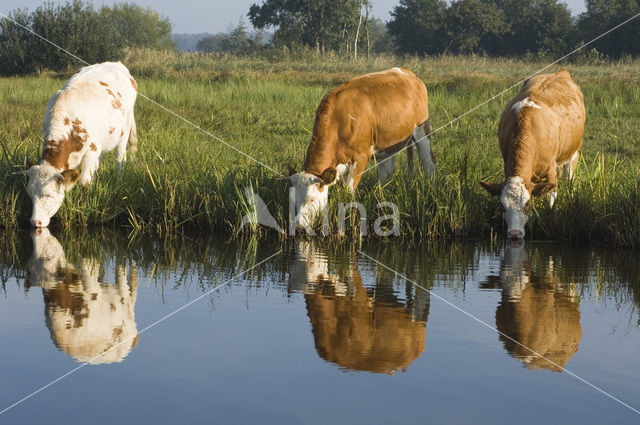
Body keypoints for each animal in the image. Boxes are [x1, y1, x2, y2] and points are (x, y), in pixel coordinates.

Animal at [14, 61, 138, 227]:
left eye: (50, 195)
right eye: (29, 194)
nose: (35, 222)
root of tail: (117, 64)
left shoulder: (92, 149)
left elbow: (85, 181)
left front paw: (85, 204)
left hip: (123, 132)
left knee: (120, 161)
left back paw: (119, 184)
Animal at [284, 67, 436, 225]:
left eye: (312, 199)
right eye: (292, 201)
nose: (299, 226)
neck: (338, 122)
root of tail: (407, 72)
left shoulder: (361, 156)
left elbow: (349, 191)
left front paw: (350, 217)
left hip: (422, 130)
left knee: (428, 162)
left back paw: (429, 188)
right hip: (386, 143)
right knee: (386, 171)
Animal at [480, 68, 584, 237]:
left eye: (527, 204)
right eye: (502, 206)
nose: (514, 234)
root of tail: (561, 72)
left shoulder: (550, 169)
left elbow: (550, 197)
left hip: (573, 154)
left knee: (569, 179)